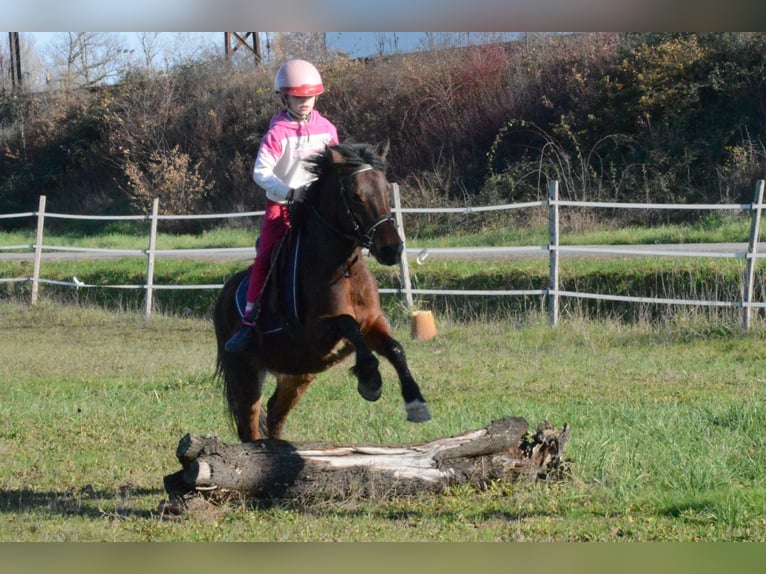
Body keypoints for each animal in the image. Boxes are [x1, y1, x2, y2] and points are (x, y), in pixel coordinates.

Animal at [213, 141, 431, 442]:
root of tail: (222, 298)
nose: (391, 249)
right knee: (250, 428)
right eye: (355, 196)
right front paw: (370, 379)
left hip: (298, 374)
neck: (344, 269)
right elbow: (347, 323)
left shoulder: (372, 323)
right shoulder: (314, 336)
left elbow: (395, 348)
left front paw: (416, 402)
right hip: (244, 376)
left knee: (275, 412)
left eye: (387, 189)